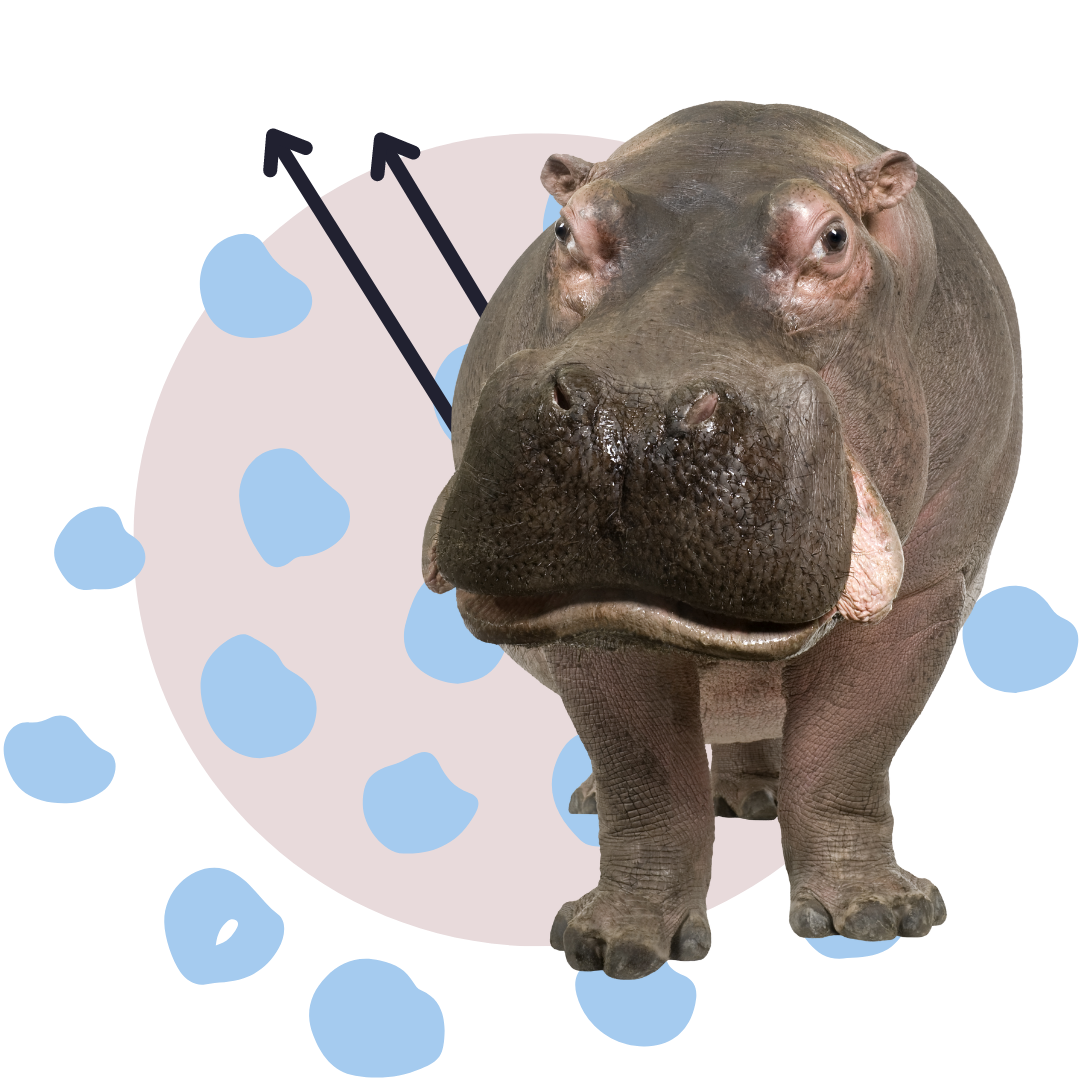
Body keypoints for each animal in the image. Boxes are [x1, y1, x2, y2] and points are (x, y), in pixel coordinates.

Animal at [422, 102, 1022, 980]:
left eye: (834, 238)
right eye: (567, 230)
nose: (631, 413)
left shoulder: (933, 585)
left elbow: (850, 740)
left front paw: (873, 915)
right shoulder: (595, 622)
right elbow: (643, 772)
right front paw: (616, 944)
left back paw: (754, 799)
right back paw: (610, 799)